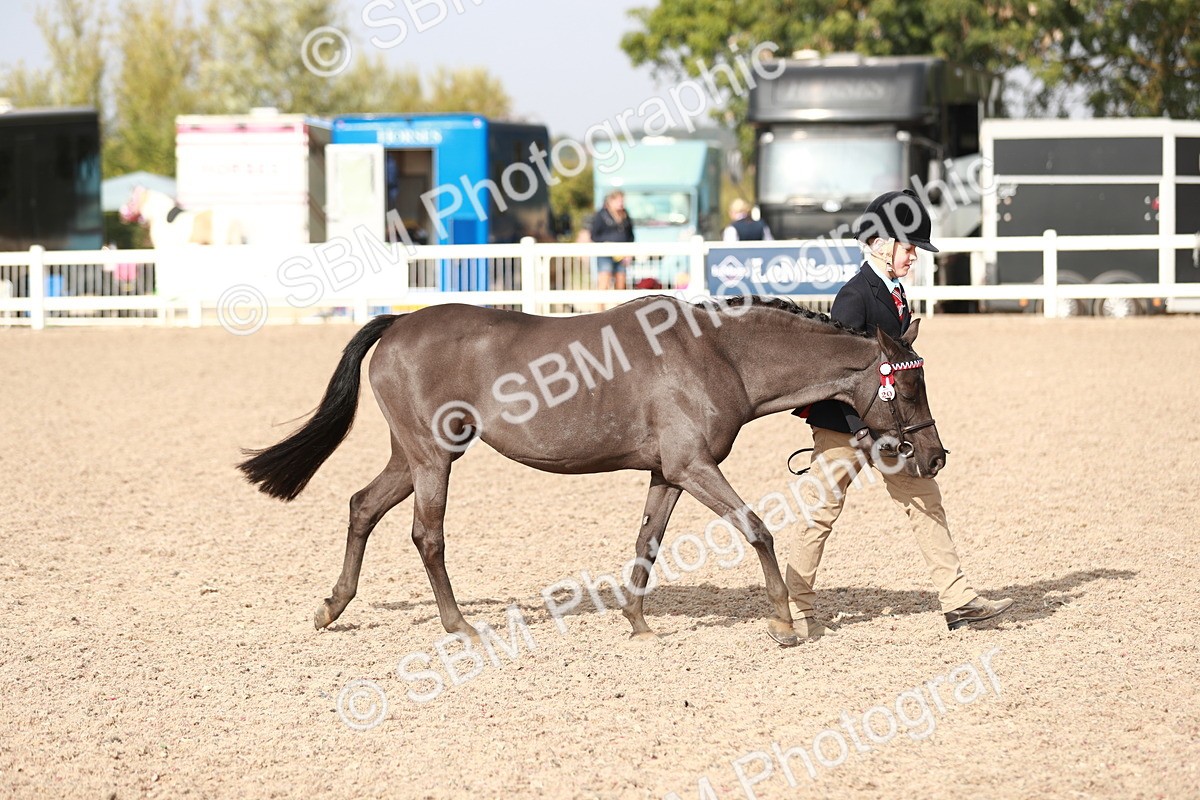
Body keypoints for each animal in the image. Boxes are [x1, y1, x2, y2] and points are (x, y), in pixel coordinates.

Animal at [237, 295, 946, 647]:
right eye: (910, 388)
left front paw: (637, 622)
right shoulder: (693, 466)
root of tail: (397, 326)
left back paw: (332, 607)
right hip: (433, 458)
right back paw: (458, 625)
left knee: (361, 506)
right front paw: (781, 624)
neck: (718, 352)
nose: (934, 456)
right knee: (426, 536)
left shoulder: (668, 473)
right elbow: (757, 530)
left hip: (411, 456)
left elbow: (648, 542)